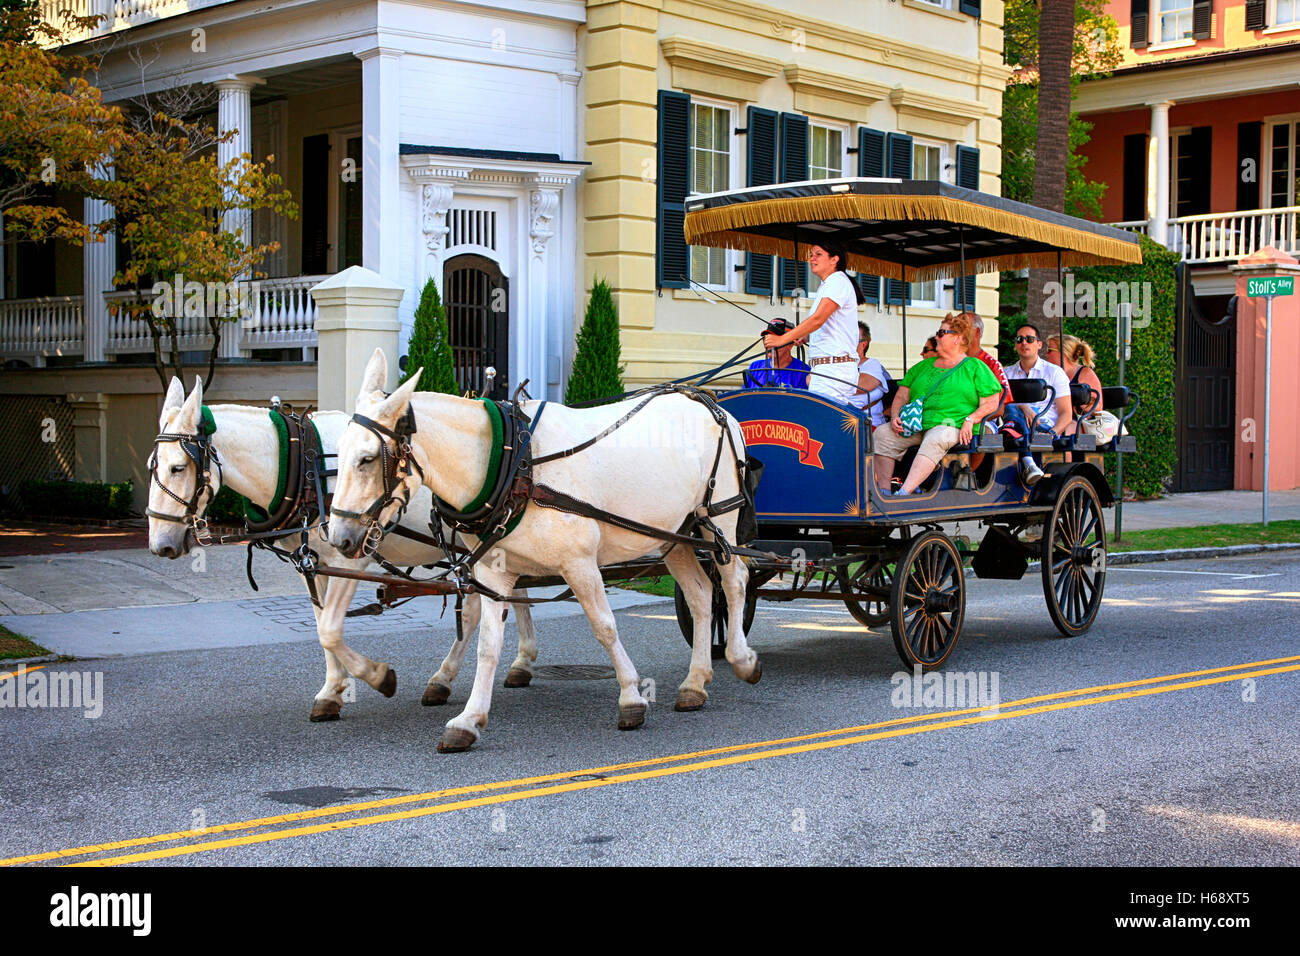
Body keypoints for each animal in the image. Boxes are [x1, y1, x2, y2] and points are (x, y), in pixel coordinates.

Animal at [146, 377, 538, 723]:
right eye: (153, 466)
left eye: (178, 467)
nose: (159, 544)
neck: (302, 466)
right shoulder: (312, 562)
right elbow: (322, 625)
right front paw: (332, 692)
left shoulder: (350, 555)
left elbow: (331, 629)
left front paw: (378, 676)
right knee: (504, 598)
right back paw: (508, 665)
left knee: (481, 608)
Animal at [327, 348, 759, 749]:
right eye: (340, 453)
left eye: (367, 459)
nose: (339, 538)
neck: (514, 463)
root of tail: (711, 404)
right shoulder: (493, 570)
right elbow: (488, 644)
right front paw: (468, 719)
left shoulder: (579, 563)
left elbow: (604, 626)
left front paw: (631, 697)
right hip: (674, 535)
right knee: (701, 596)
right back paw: (695, 683)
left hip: (718, 517)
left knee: (734, 580)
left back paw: (741, 658)